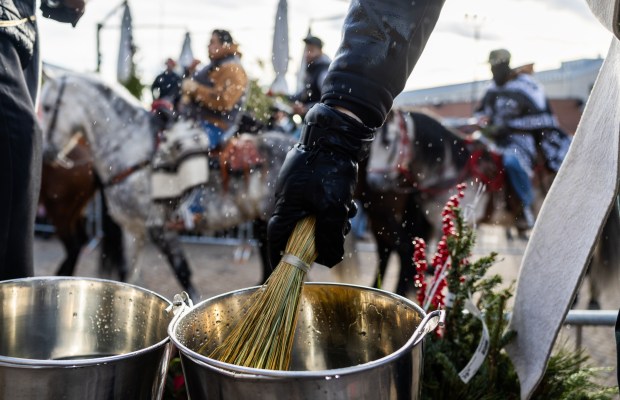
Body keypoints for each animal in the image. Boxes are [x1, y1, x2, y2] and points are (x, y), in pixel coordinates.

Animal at [40, 72, 296, 298]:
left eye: (47, 107)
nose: (47, 153)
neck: (132, 149)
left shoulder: (159, 227)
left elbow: (183, 274)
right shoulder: (132, 230)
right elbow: (127, 275)